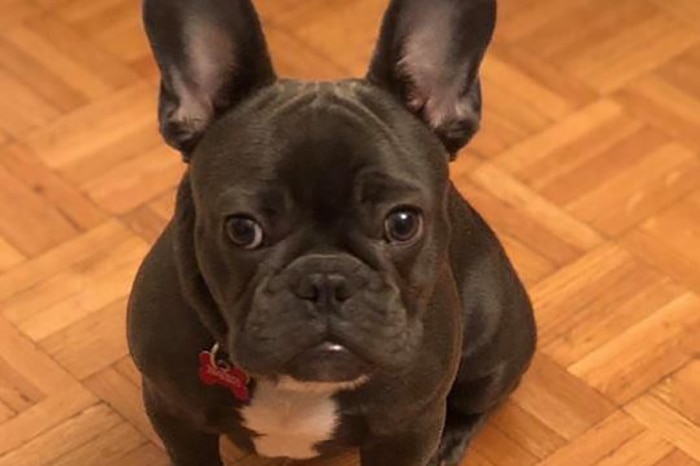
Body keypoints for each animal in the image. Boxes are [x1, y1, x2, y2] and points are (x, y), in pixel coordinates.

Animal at [127, 0, 536, 464]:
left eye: (402, 223)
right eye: (242, 230)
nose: (326, 280)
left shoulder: (408, 427)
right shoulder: (174, 412)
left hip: (491, 347)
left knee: (475, 401)